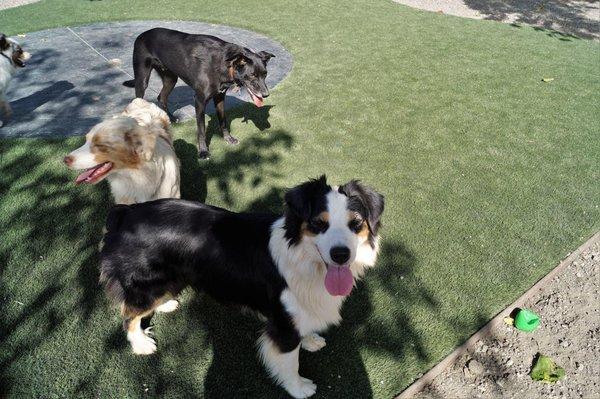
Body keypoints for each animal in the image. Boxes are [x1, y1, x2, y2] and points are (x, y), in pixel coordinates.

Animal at [124, 27, 274, 159]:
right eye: (252, 75)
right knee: (138, 99)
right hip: (142, 79)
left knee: (161, 97)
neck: (226, 63)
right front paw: (203, 151)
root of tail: (142, 34)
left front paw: (228, 138)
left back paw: (170, 118)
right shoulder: (200, 100)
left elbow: (223, 121)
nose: (265, 94)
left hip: (171, 78)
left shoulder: (220, 97)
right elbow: (201, 130)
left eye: (265, 74)